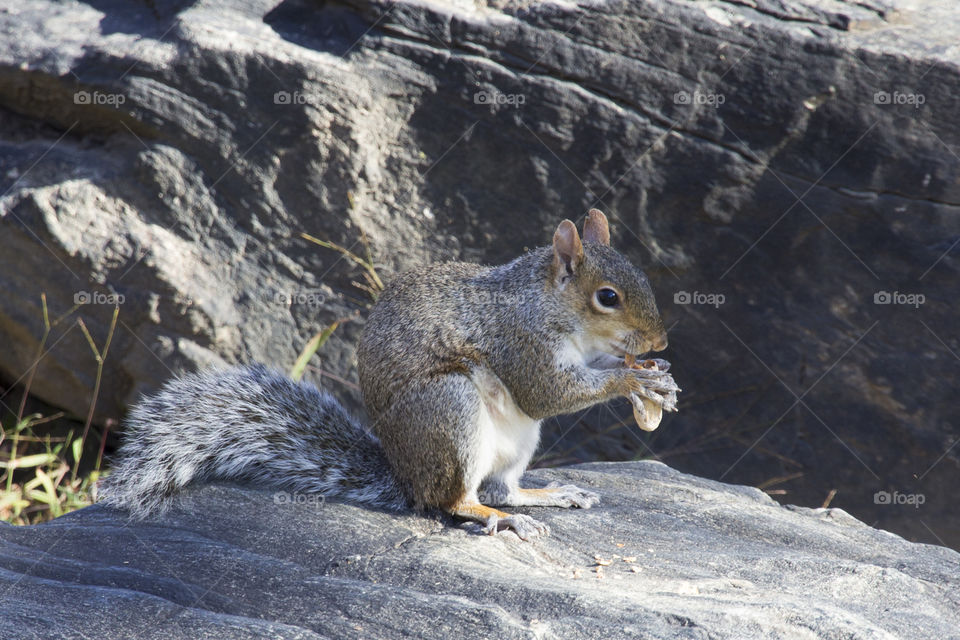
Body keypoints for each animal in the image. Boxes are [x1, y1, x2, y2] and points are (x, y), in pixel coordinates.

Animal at [100, 209, 679, 539]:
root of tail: (406, 478)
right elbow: (547, 393)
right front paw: (635, 381)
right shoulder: (521, 343)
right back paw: (499, 519)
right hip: (450, 409)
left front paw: (655, 374)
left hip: (516, 443)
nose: (660, 343)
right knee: (458, 501)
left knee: (502, 489)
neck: (547, 304)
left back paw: (547, 495)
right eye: (608, 297)